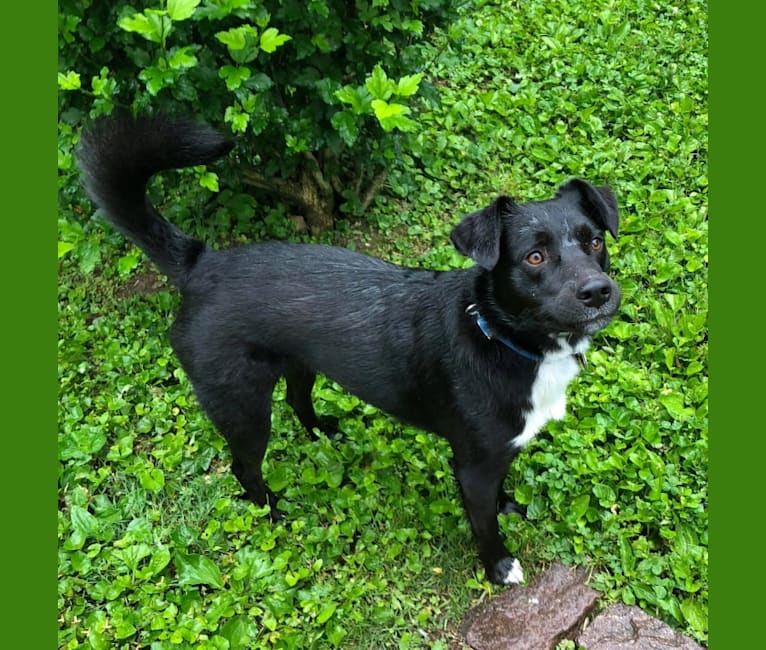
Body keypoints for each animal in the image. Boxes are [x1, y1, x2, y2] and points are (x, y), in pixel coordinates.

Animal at [78, 114, 620, 584]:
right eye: (534, 257)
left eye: (595, 242)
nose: (598, 291)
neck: (498, 335)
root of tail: (199, 264)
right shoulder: (473, 466)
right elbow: (484, 524)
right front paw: (500, 566)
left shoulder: (498, 453)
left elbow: (499, 494)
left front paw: (509, 505)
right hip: (241, 405)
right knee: (243, 466)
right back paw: (271, 509)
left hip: (299, 363)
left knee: (297, 400)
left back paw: (322, 432)